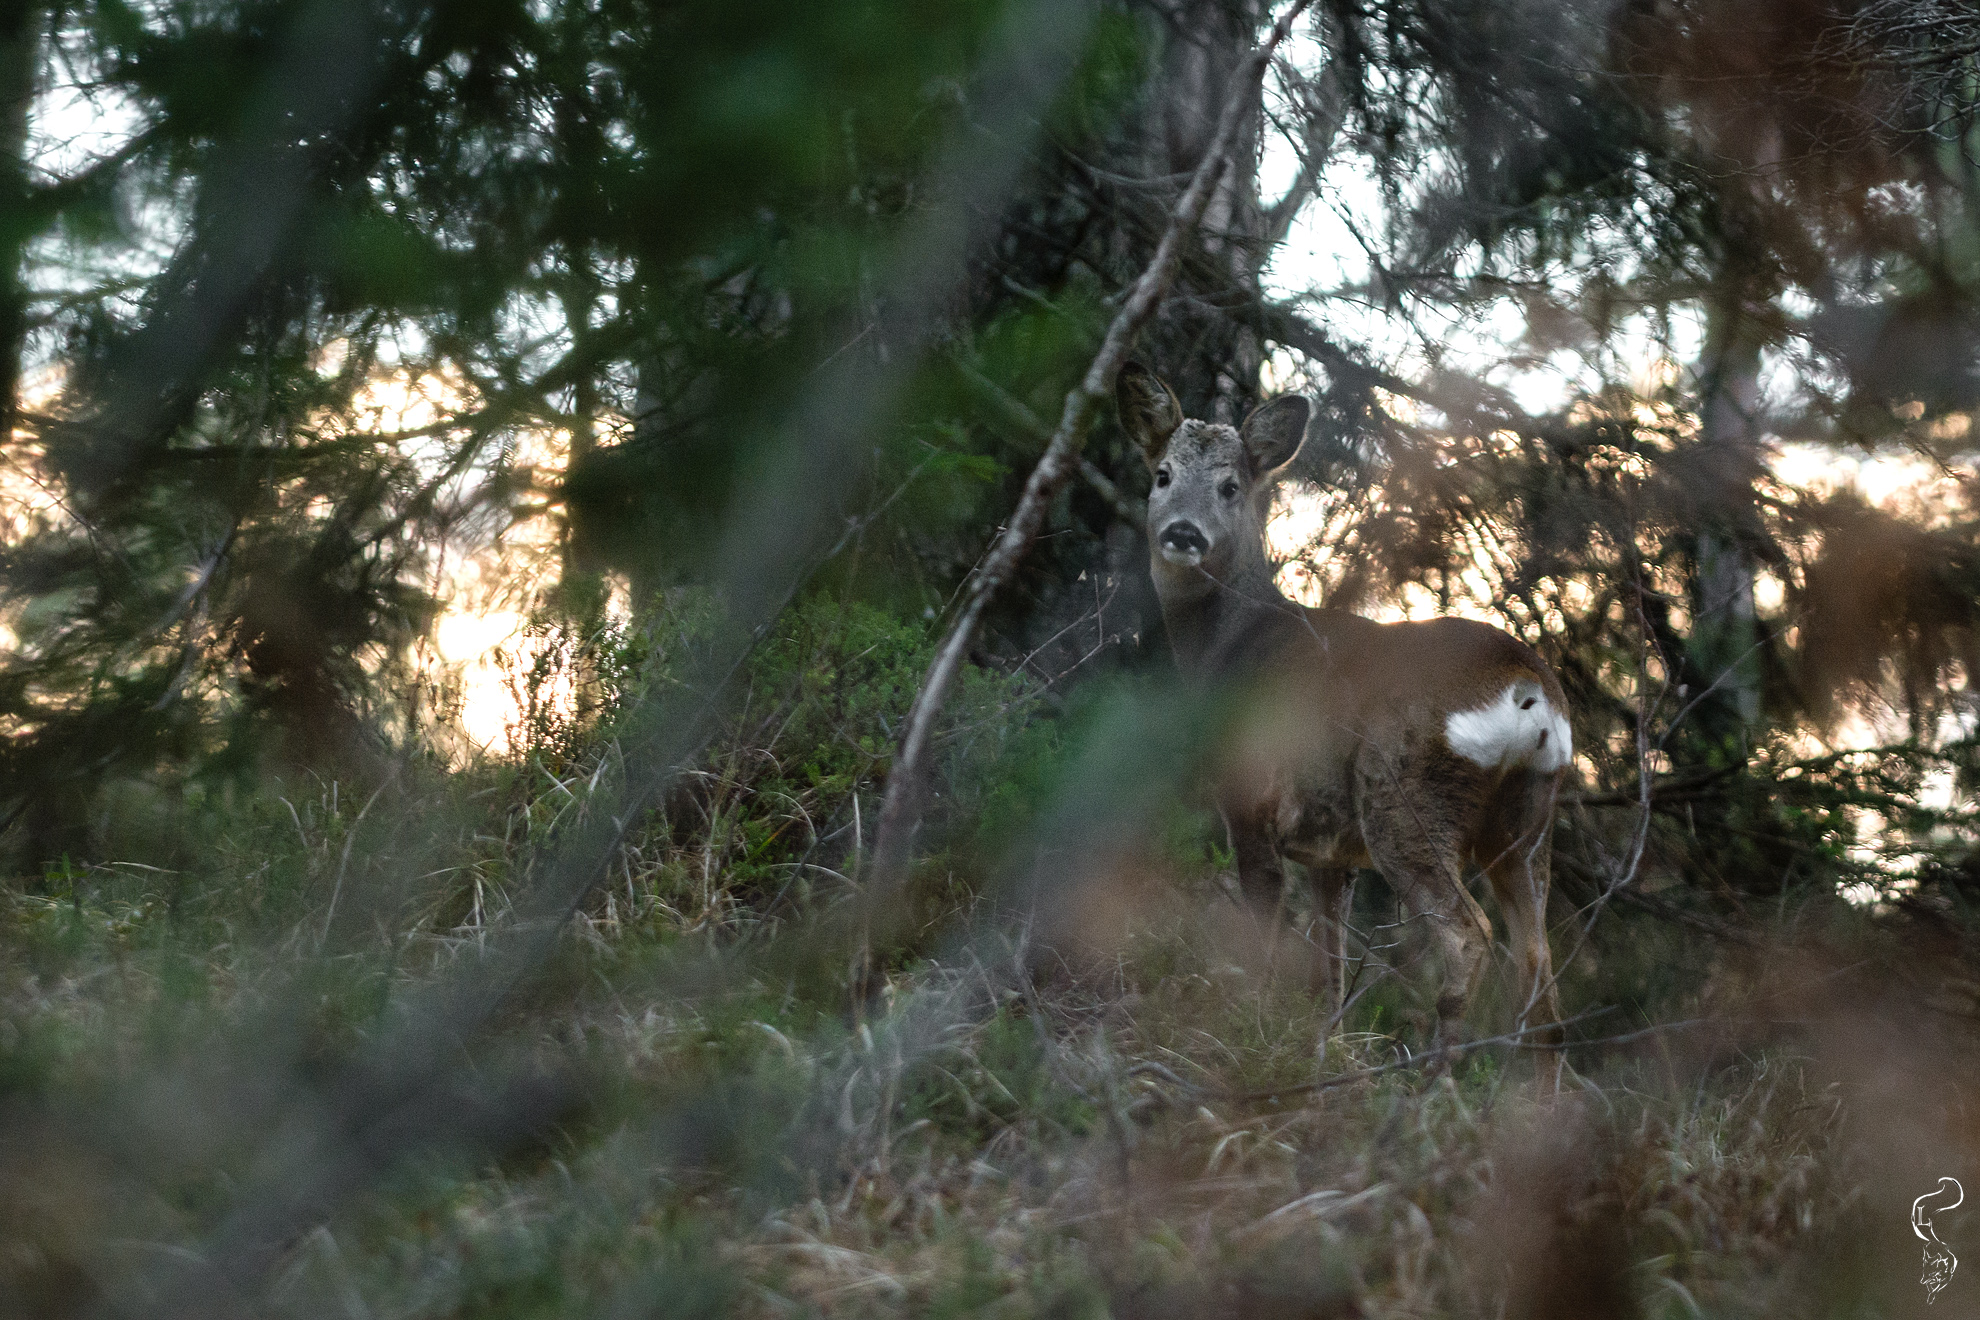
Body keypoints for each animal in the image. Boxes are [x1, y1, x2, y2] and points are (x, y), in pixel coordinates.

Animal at [1116, 362, 1570, 1055]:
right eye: (1163, 474)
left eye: (1230, 486)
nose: (1183, 533)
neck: (1232, 643)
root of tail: (1532, 692)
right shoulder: (1331, 852)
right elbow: (1329, 966)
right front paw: (1321, 1050)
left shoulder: (1253, 800)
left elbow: (1266, 932)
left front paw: (1250, 1029)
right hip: (1526, 824)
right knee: (1540, 971)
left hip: (1405, 799)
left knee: (1469, 935)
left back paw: (1433, 1073)